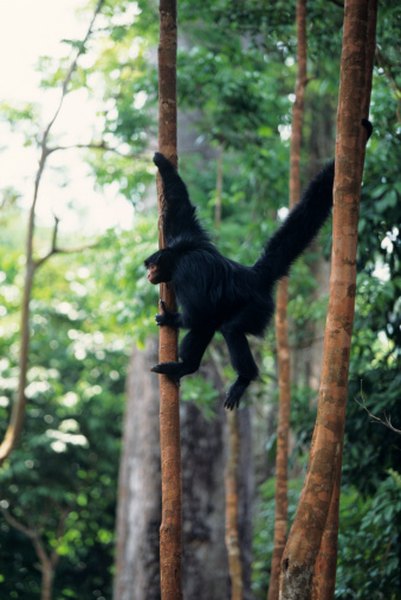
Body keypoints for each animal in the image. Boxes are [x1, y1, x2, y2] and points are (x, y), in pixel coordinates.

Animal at [145, 122, 372, 412]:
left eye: (152, 267)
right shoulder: (187, 237)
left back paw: (239, 377)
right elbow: (180, 206)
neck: (179, 255)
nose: (149, 274)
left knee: (228, 328)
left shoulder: (187, 272)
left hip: (258, 307)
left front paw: (171, 320)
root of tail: (252, 276)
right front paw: (162, 163)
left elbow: (199, 313)